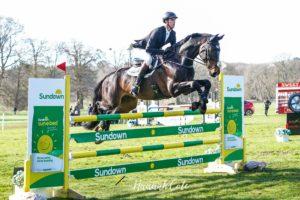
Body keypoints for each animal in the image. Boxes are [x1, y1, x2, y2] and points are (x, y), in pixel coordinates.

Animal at [84, 33, 223, 130]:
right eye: (210, 50)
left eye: (219, 50)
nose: (215, 72)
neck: (179, 61)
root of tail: (109, 76)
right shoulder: (173, 89)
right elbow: (196, 84)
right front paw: (202, 105)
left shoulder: (185, 90)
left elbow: (205, 83)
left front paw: (199, 103)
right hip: (111, 100)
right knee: (99, 106)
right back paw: (98, 123)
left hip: (127, 104)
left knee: (111, 112)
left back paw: (102, 127)